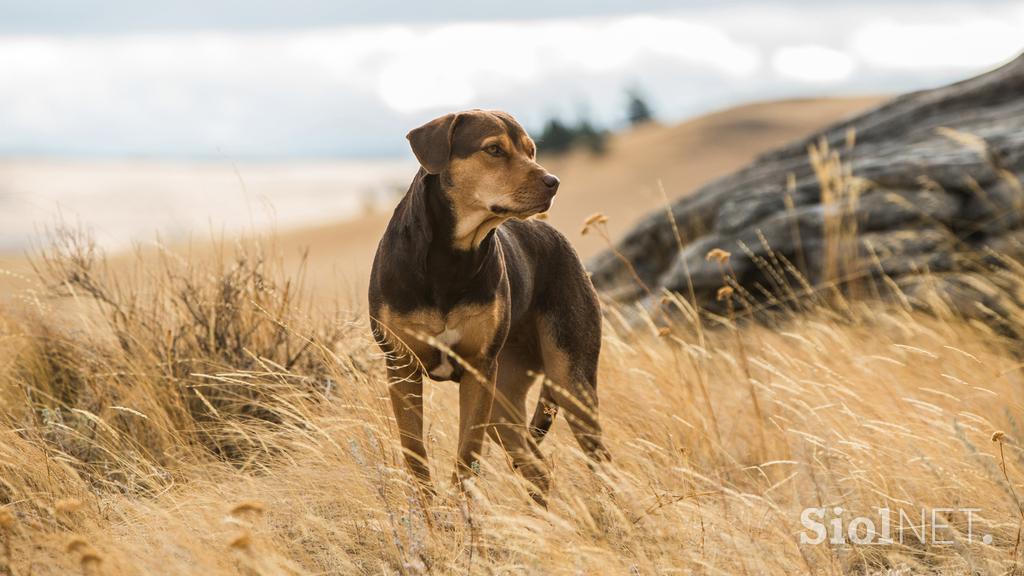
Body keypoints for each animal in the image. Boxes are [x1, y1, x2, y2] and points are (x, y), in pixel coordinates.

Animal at [368, 108, 606, 502]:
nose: (553, 182)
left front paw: (462, 514)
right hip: (504, 399)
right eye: (493, 149)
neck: (450, 257)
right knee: (537, 466)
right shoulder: (402, 366)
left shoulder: (479, 370)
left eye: (531, 150)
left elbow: (466, 458)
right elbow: (415, 455)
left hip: (569, 380)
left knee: (597, 462)